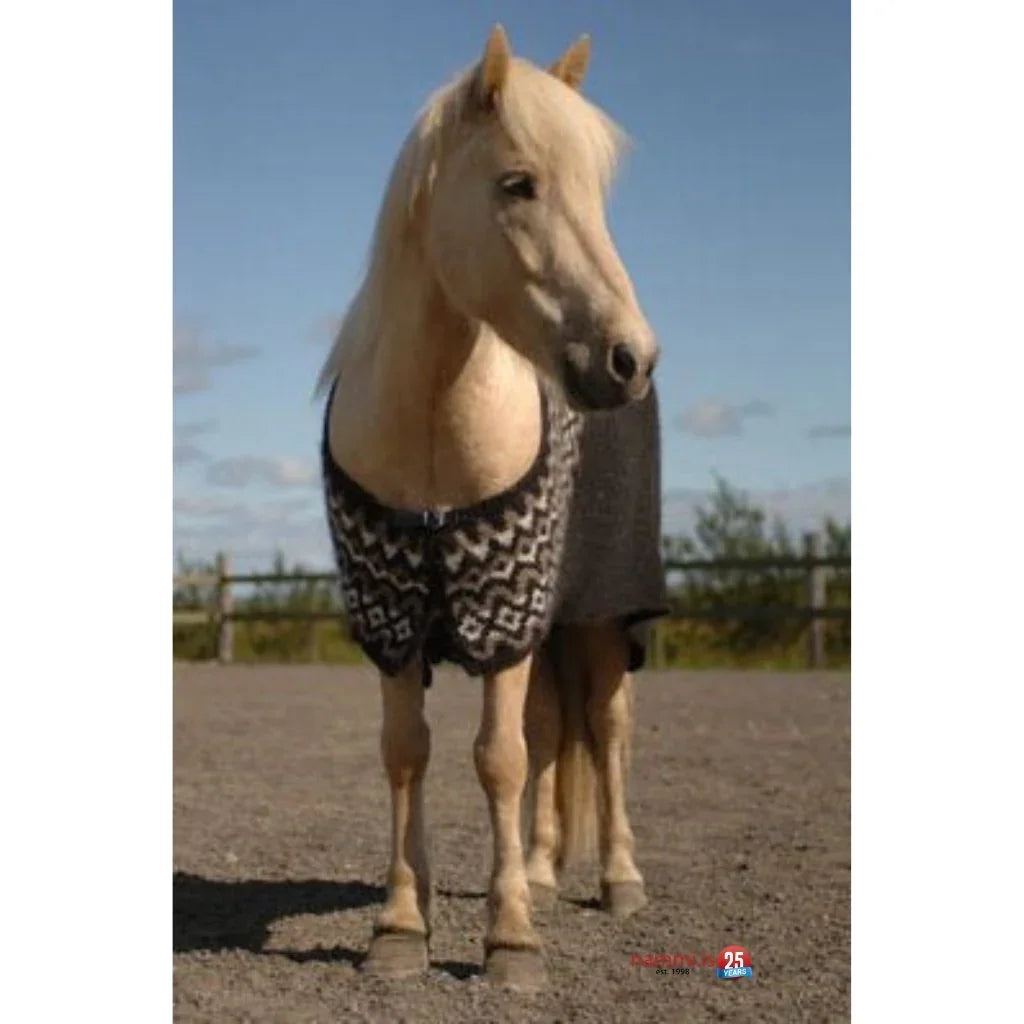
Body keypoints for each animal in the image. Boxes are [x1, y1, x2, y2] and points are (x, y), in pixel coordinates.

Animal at [316, 26, 666, 990]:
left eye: (596, 191)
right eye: (518, 184)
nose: (630, 359)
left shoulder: (504, 619)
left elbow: (499, 761)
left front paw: (510, 942)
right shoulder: (394, 618)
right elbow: (410, 753)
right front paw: (402, 926)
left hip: (598, 617)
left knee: (608, 731)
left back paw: (617, 880)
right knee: (553, 733)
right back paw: (543, 869)